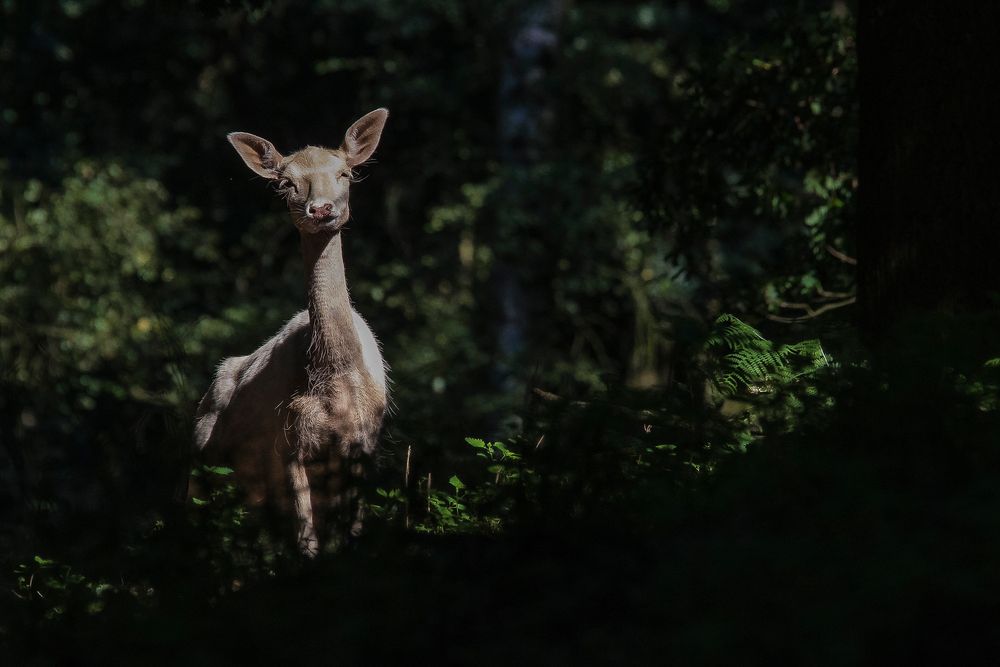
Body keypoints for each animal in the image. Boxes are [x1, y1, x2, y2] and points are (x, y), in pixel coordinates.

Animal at [191, 109, 390, 560]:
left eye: (346, 172)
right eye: (286, 182)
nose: (321, 209)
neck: (335, 389)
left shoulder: (364, 445)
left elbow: (350, 535)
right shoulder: (287, 443)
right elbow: (307, 542)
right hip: (203, 467)